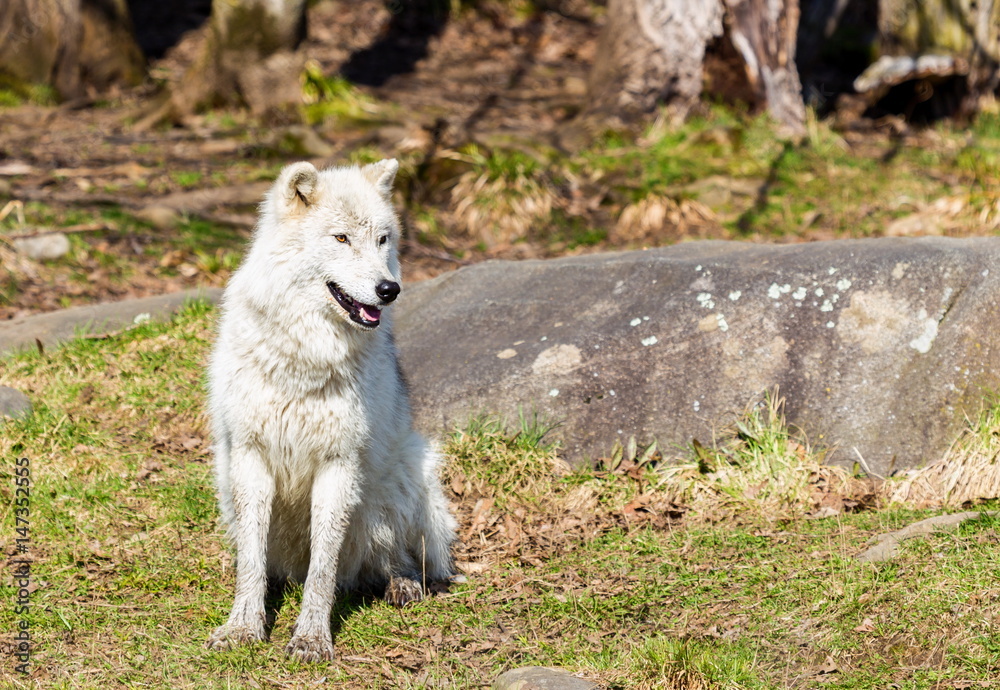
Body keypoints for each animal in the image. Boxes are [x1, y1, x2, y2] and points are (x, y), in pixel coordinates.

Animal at [205, 159, 456, 662]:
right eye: (341, 238)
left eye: (383, 240)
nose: (389, 289)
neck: (305, 359)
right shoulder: (250, 456)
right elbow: (251, 561)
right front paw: (243, 626)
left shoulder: (338, 464)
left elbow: (323, 567)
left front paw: (311, 638)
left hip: (405, 474)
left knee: (394, 556)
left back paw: (402, 584)